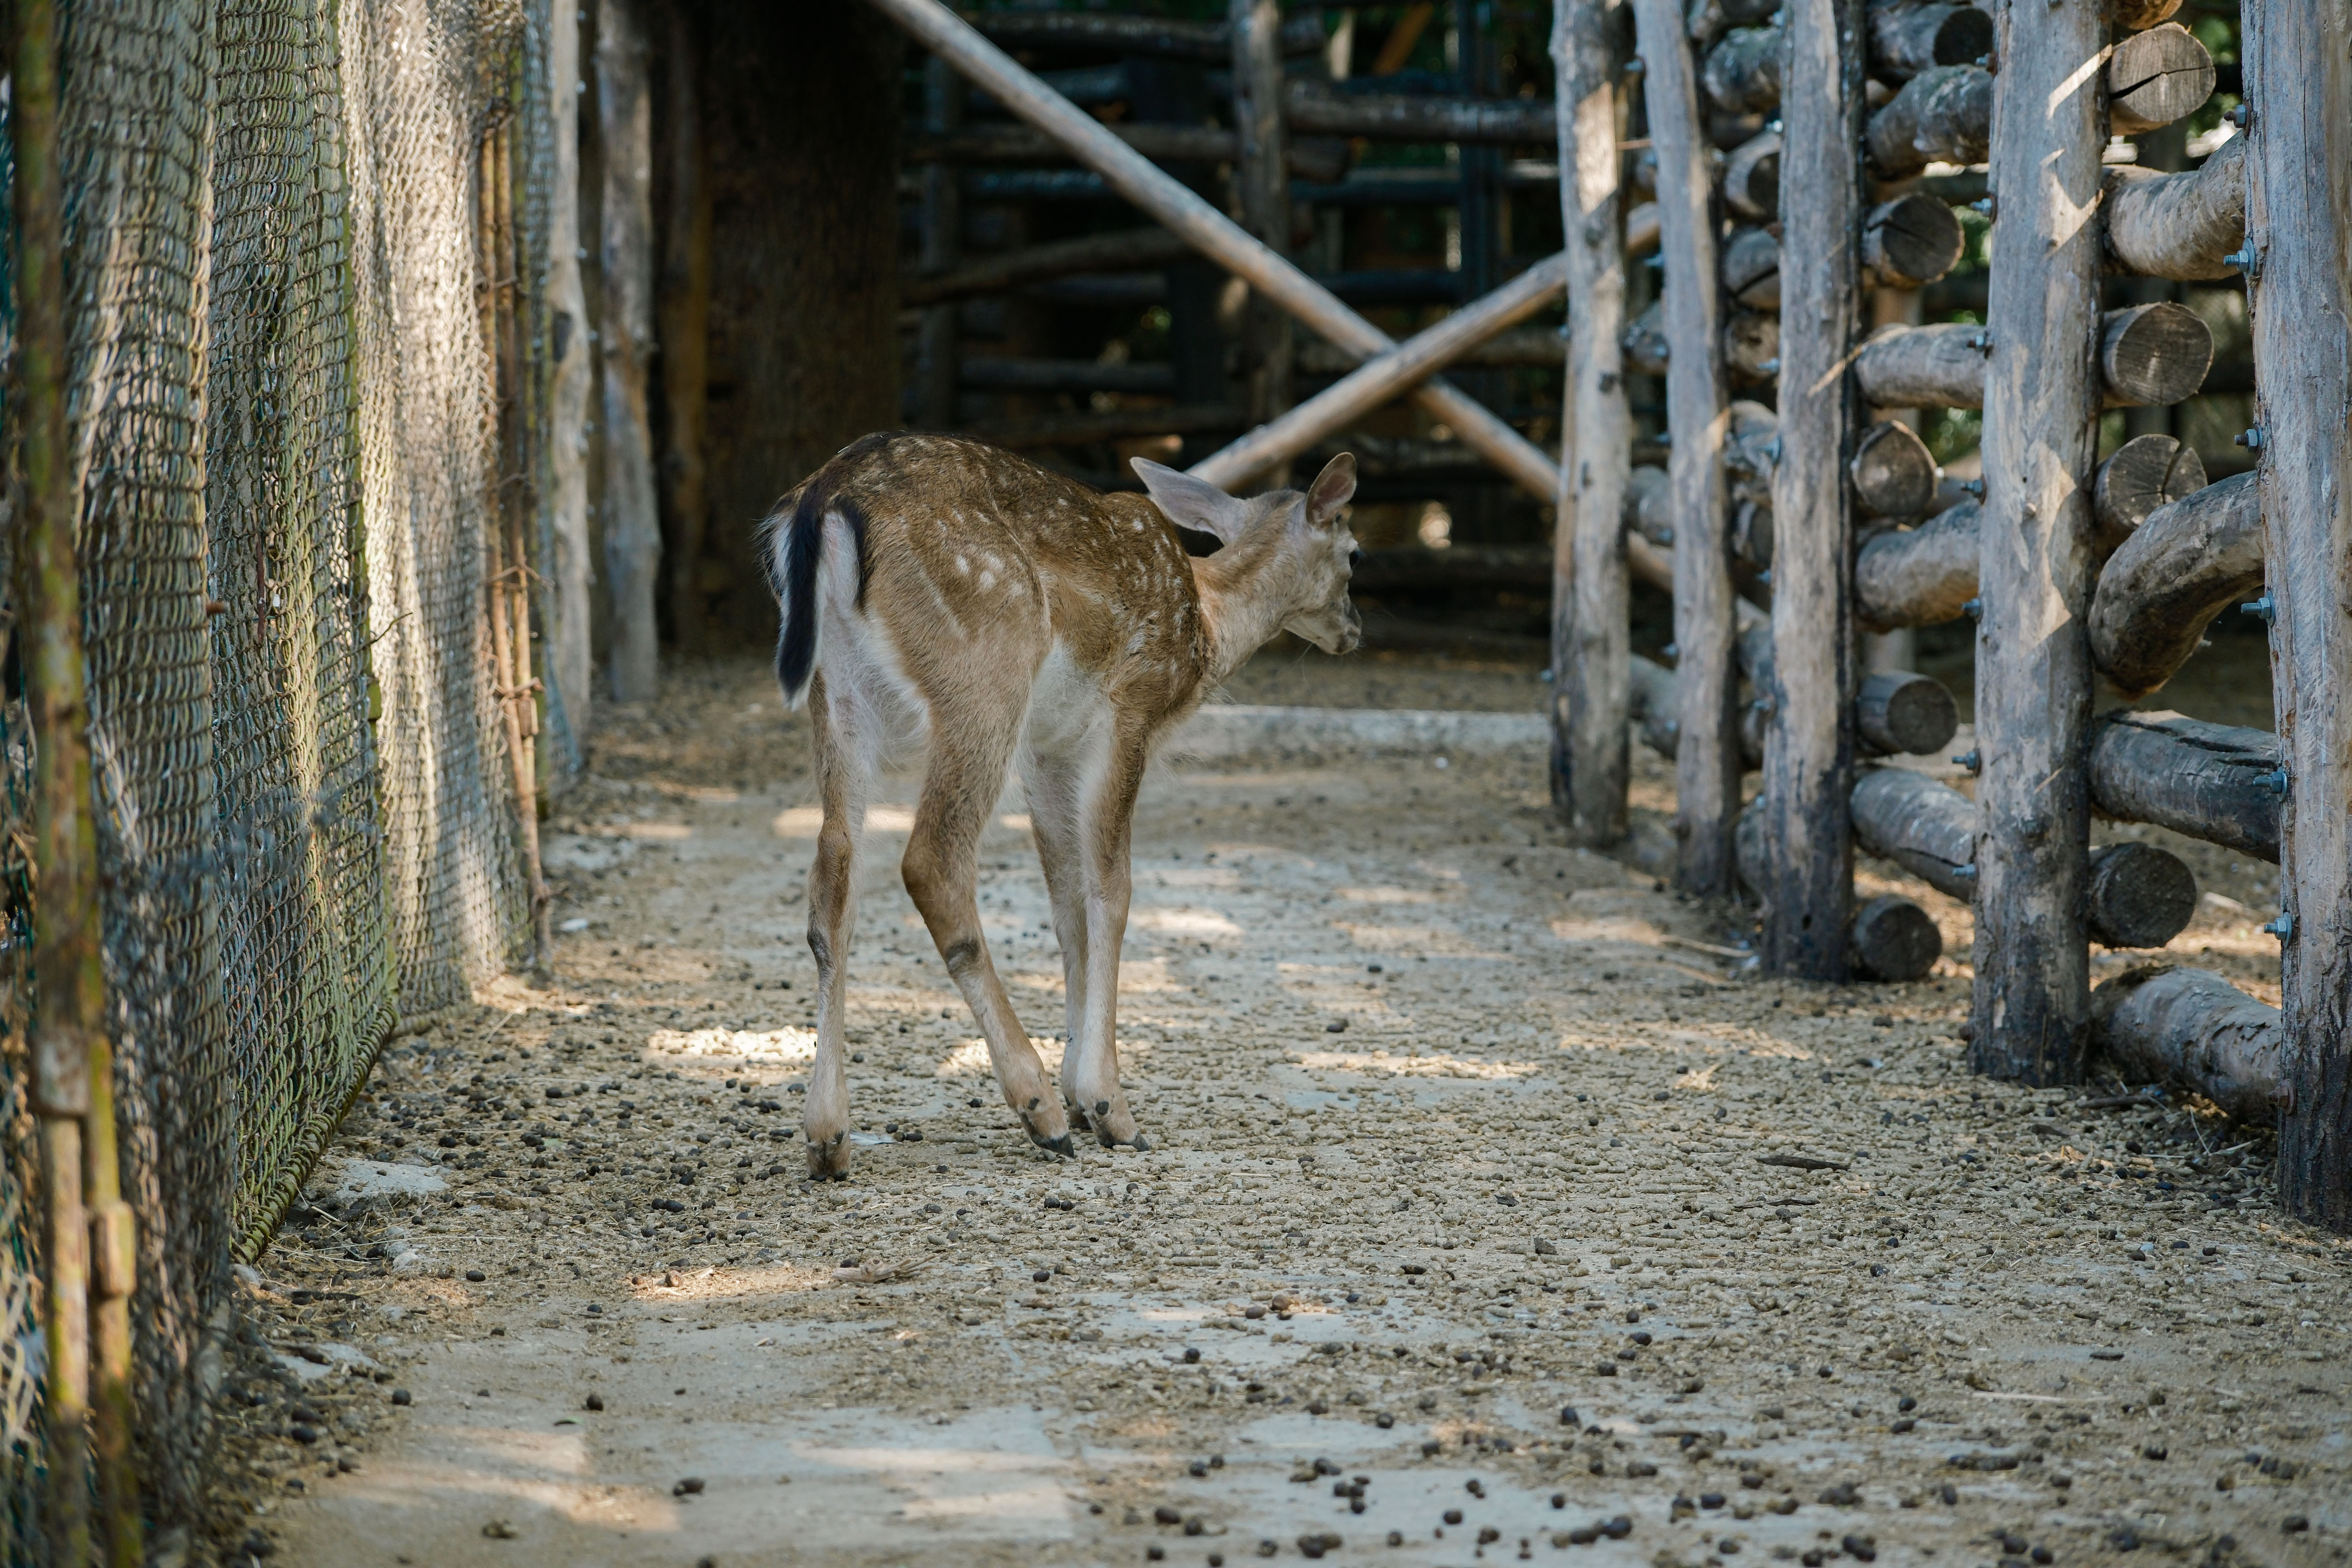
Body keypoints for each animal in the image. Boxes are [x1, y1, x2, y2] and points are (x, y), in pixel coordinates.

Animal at [762, 432, 1361, 1178]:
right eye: (1355, 554)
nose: (1355, 630)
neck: (1206, 624)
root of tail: (823, 499)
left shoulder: (1048, 748)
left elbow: (1067, 905)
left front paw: (1084, 1091)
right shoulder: (1128, 713)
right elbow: (1113, 892)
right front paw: (1107, 1106)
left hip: (838, 692)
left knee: (832, 879)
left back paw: (827, 1136)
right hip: (986, 666)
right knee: (931, 862)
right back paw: (1038, 1108)